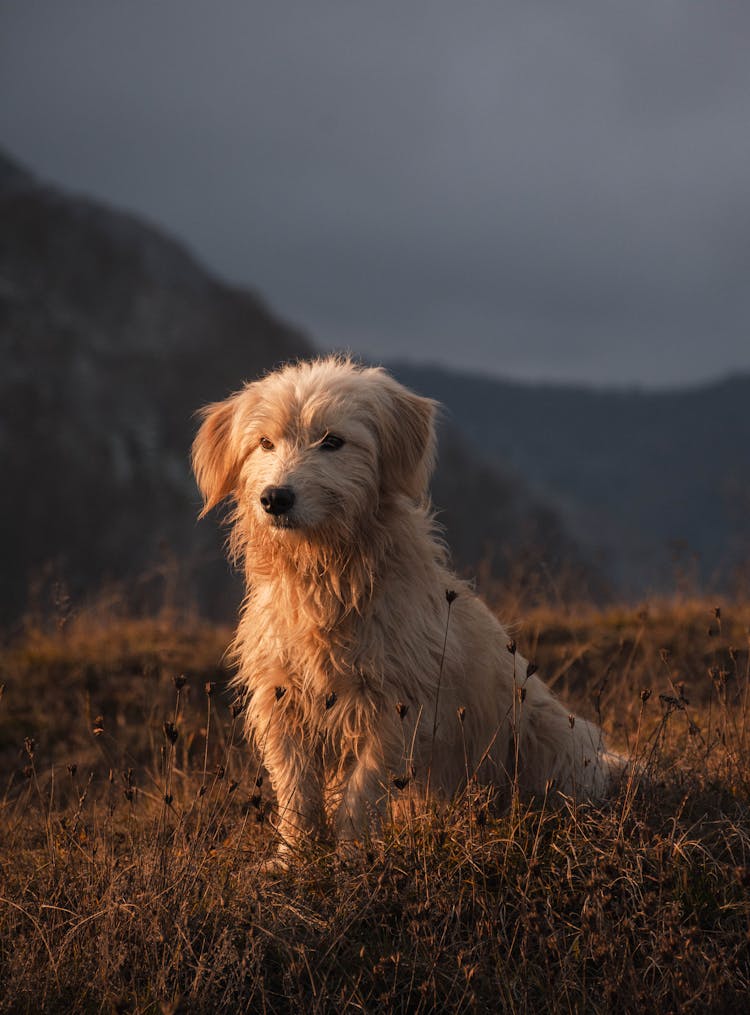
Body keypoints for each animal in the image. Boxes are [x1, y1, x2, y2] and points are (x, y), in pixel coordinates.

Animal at [193, 361, 617, 852]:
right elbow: (296, 790)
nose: (275, 498)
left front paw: (351, 855)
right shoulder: (282, 699)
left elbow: (363, 789)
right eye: (264, 443)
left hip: (550, 740)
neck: (325, 579)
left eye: (332, 441)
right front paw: (293, 857)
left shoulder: (396, 706)